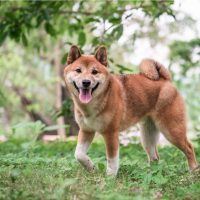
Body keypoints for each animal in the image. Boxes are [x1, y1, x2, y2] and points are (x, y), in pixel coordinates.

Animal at [63, 45, 198, 175]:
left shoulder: (111, 133)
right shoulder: (86, 130)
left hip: (171, 130)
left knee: (189, 148)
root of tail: (166, 80)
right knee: (155, 157)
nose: (86, 82)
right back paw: (150, 174)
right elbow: (79, 154)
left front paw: (109, 178)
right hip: (147, 135)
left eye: (94, 71)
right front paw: (91, 168)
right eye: (78, 70)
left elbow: (112, 161)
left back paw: (193, 172)